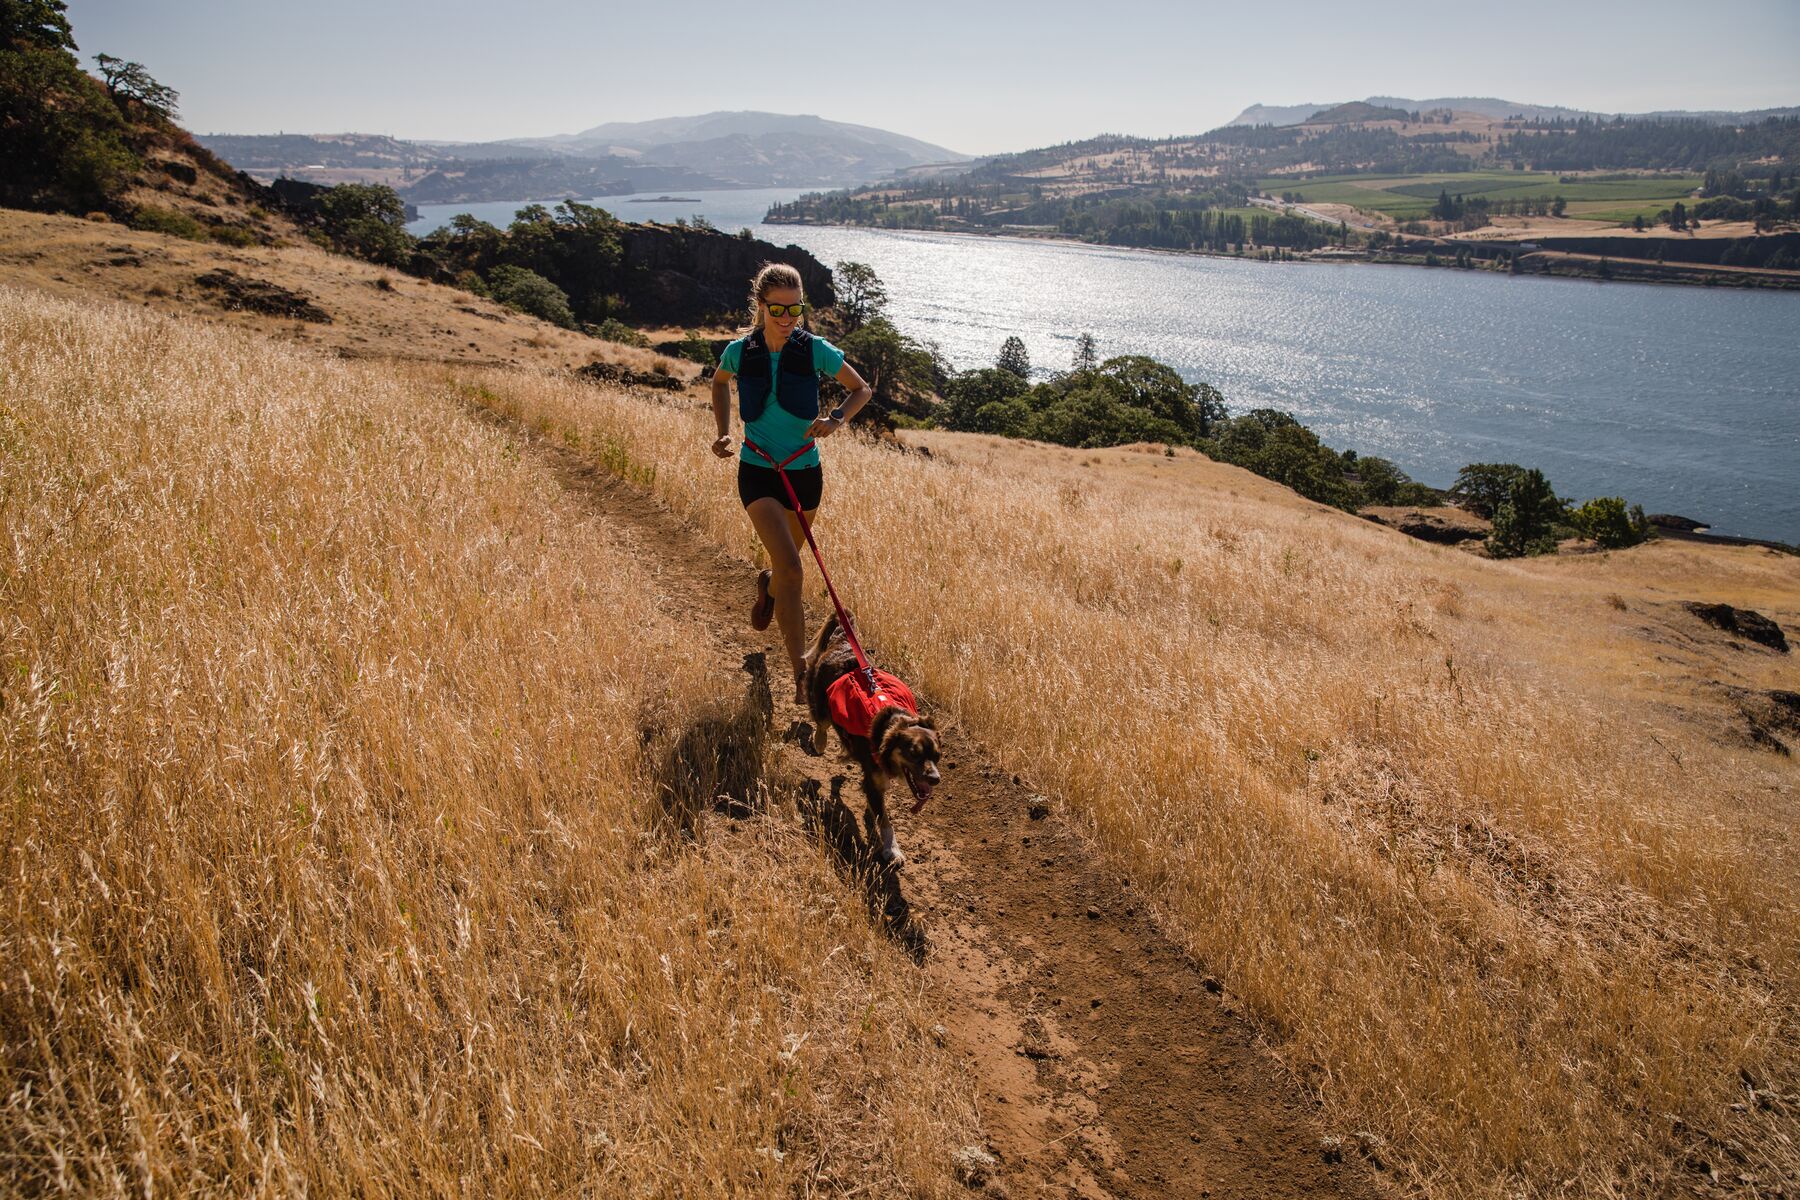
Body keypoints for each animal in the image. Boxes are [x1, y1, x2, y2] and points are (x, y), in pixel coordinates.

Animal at [806, 615, 943, 867]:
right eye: (913, 753)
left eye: (937, 756)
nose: (935, 779)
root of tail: (843, 641)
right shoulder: (874, 781)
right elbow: (885, 820)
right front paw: (892, 849)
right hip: (821, 702)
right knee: (822, 724)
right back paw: (820, 743)